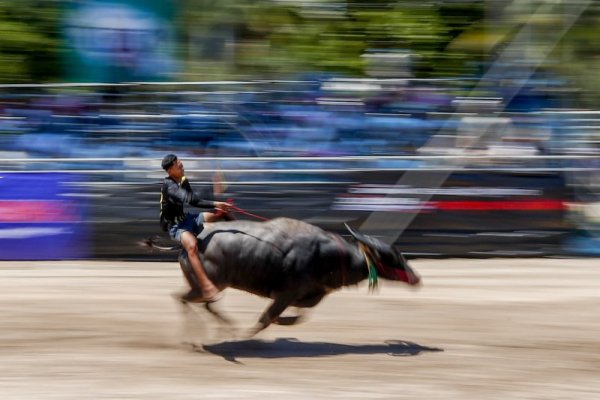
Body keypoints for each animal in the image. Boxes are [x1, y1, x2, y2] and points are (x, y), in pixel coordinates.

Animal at [161, 217, 422, 336]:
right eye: (394, 257)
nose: (417, 278)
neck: (327, 256)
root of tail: (188, 242)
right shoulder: (285, 295)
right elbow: (267, 318)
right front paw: (251, 334)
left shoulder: (307, 294)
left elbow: (301, 313)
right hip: (207, 285)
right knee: (183, 299)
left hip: (208, 286)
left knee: (198, 302)